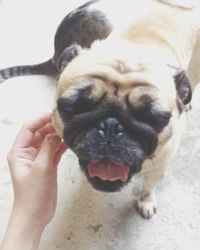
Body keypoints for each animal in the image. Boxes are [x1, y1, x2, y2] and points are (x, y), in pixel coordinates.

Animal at [0, 0, 200, 219]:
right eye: (72, 106)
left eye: (153, 118)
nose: (111, 125)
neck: (134, 46)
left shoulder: (159, 167)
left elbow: (149, 187)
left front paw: (146, 201)